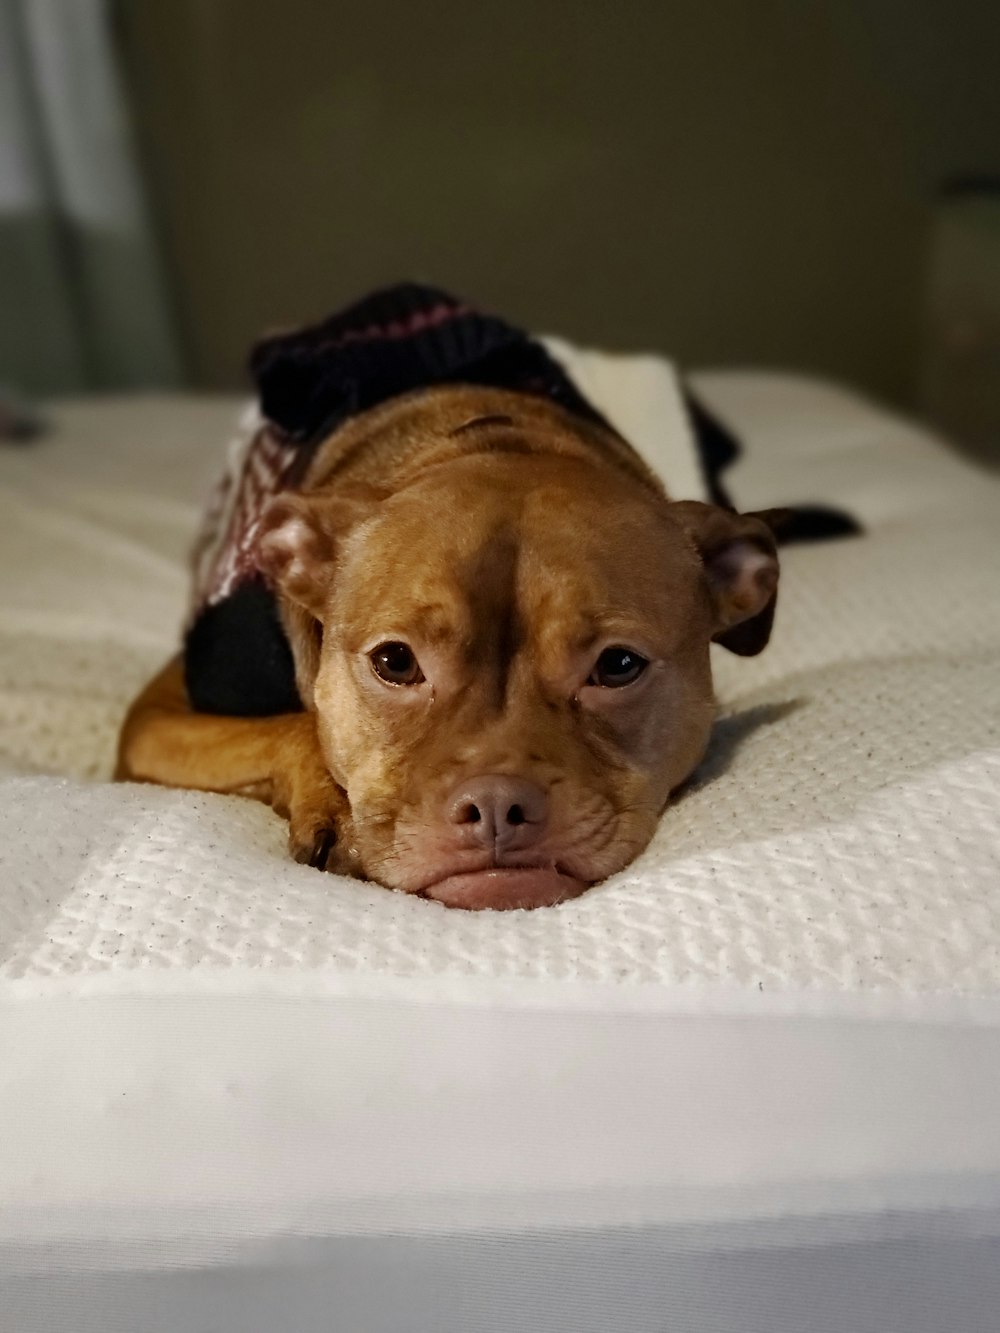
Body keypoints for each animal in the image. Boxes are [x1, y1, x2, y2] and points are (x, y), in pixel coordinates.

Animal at [115, 286, 789, 911]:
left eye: (619, 665)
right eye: (395, 662)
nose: (496, 804)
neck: (492, 434)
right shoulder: (156, 721)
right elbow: (292, 728)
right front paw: (334, 808)